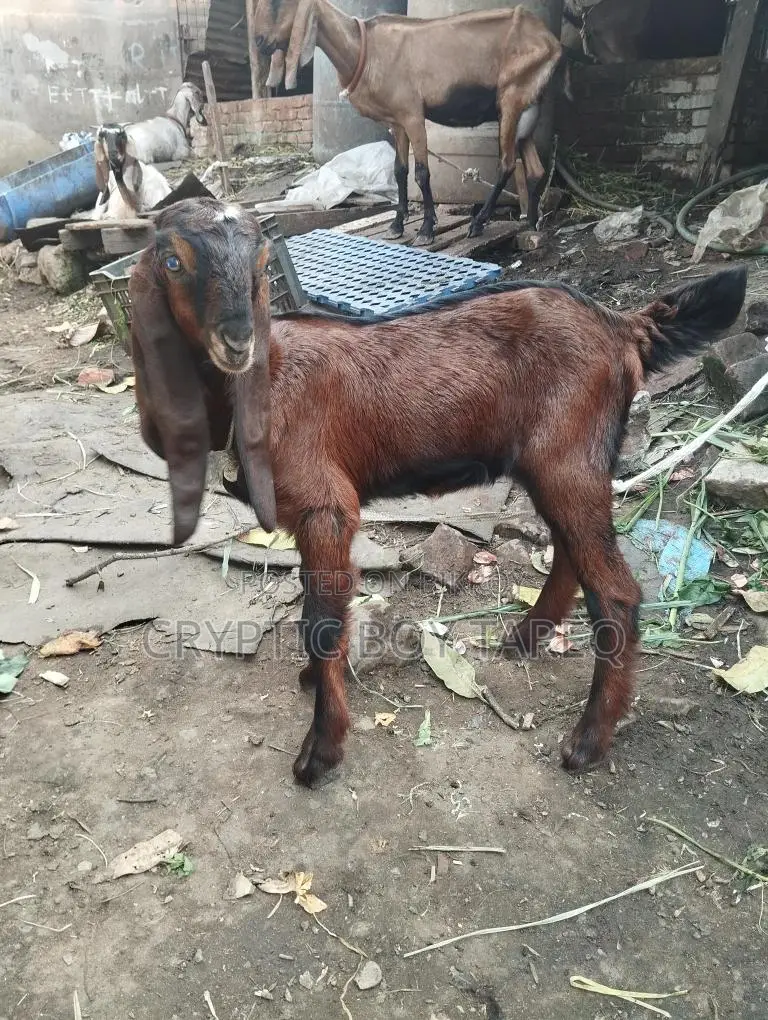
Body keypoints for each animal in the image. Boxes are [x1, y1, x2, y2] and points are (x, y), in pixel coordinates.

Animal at [129, 197, 746, 788]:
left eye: (261, 264)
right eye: (172, 261)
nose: (239, 341)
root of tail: (620, 325)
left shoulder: (326, 506)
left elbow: (322, 622)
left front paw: (320, 752)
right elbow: (319, 609)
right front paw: (313, 682)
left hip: (569, 458)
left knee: (616, 592)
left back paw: (587, 742)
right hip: (554, 465)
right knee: (573, 549)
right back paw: (526, 638)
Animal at [250, 0, 563, 245]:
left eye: (279, 1)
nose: (260, 42)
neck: (363, 48)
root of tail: (551, 42)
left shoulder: (413, 114)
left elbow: (422, 173)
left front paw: (426, 229)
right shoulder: (397, 121)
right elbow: (400, 170)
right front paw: (396, 225)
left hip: (510, 99)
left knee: (507, 163)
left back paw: (479, 222)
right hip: (525, 109)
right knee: (535, 169)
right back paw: (531, 223)